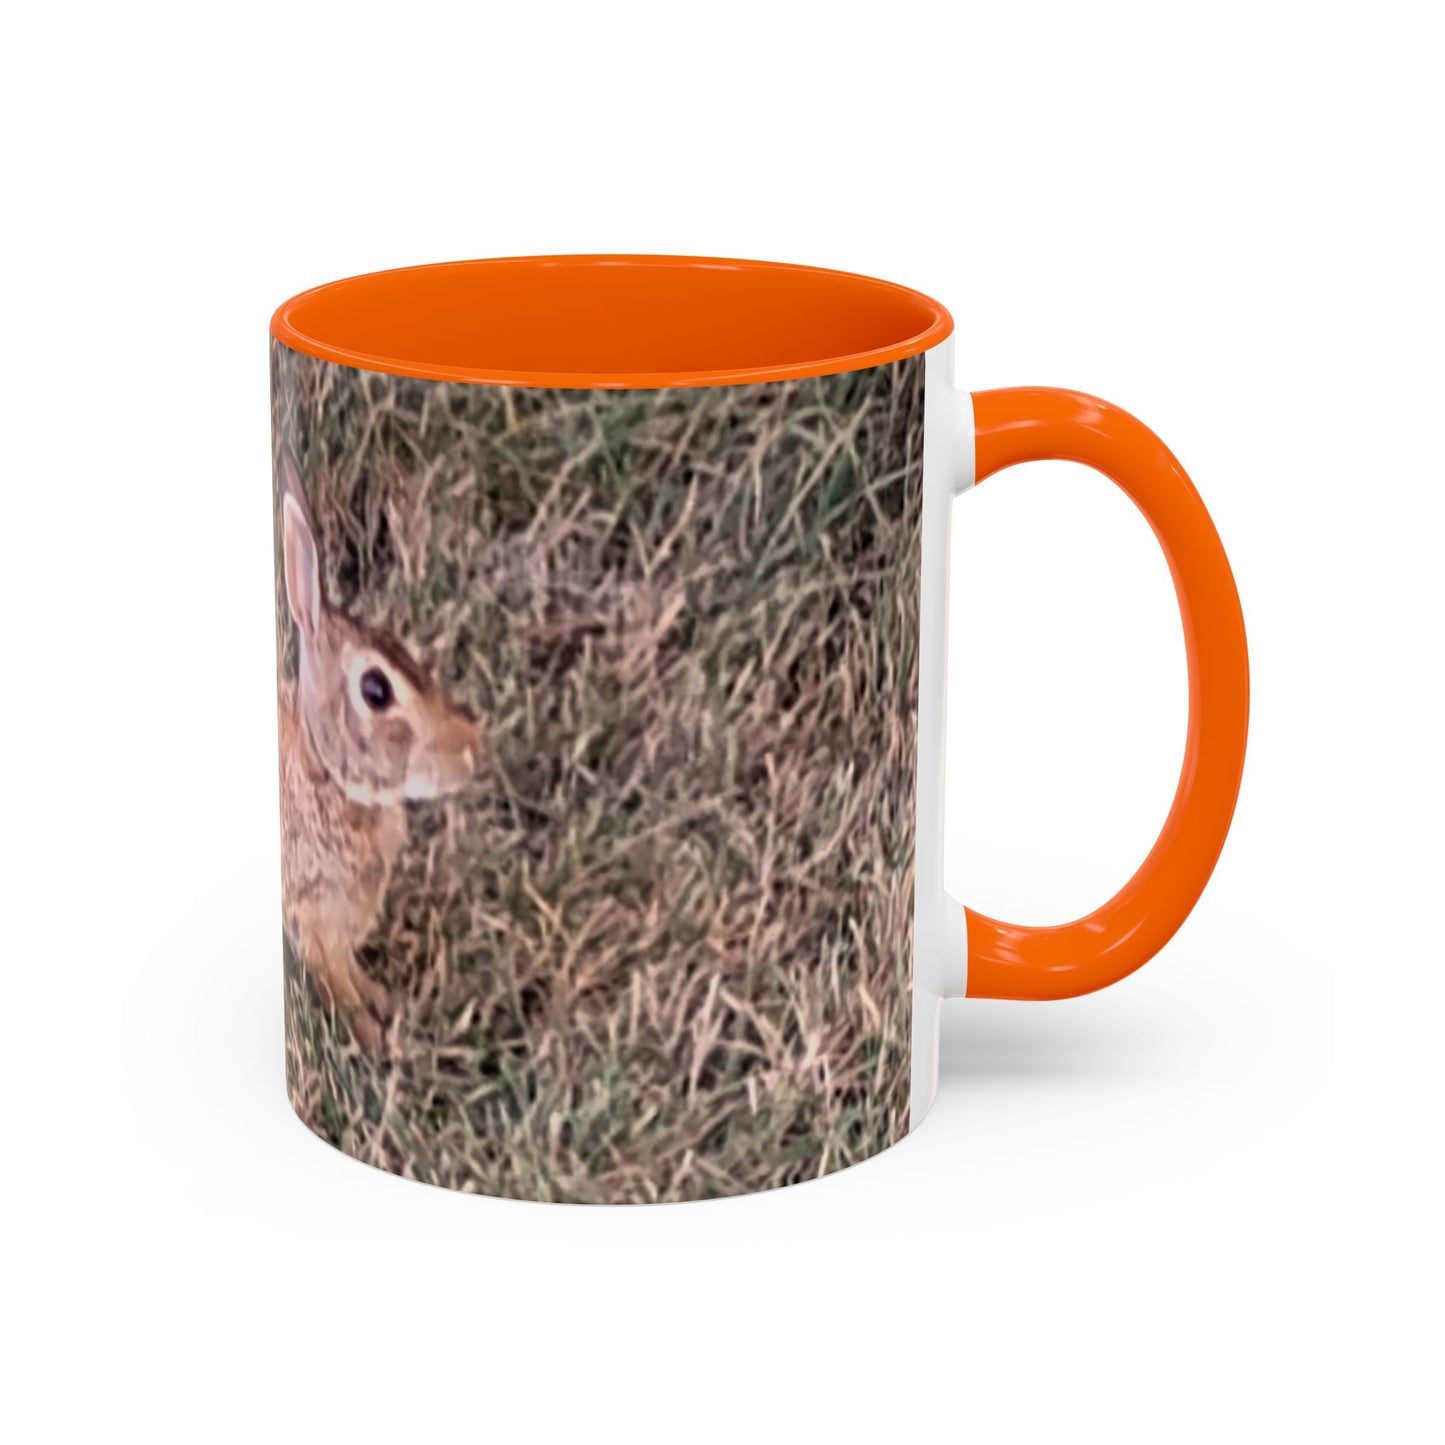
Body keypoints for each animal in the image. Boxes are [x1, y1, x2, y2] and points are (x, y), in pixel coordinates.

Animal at [276, 455, 480, 1050]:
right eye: (375, 690)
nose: (473, 748)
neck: (326, 775)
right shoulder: (313, 917)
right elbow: (338, 981)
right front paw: (369, 1034)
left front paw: (386, 1004)